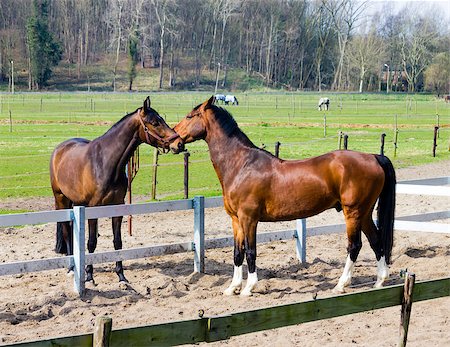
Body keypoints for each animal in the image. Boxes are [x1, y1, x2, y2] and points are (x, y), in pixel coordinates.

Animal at [49, 96, 183, 284]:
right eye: (155, 122)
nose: (179, 143)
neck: (105, 162)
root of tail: (59, 149)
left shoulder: (117, 207)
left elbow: (117, 242)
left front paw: (121, 275)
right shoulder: (94, 208)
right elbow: (91, 242)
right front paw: (89, 275)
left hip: (75, 202)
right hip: (60, 198)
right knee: (67, 231)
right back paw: (71, 268)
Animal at [174, 96, 396, 296]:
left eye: (189, 116)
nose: (173, 141)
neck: (242, 165)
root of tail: (374, 157)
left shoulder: (249, 219)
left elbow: (251, 251)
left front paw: (248, 288)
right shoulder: (236, 220)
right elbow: (238, 253)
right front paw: (232, 288)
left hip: (353, 213)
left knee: (355, 246)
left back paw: (341, 284)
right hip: (364, 213)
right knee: (376, 241)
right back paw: (379, 281)